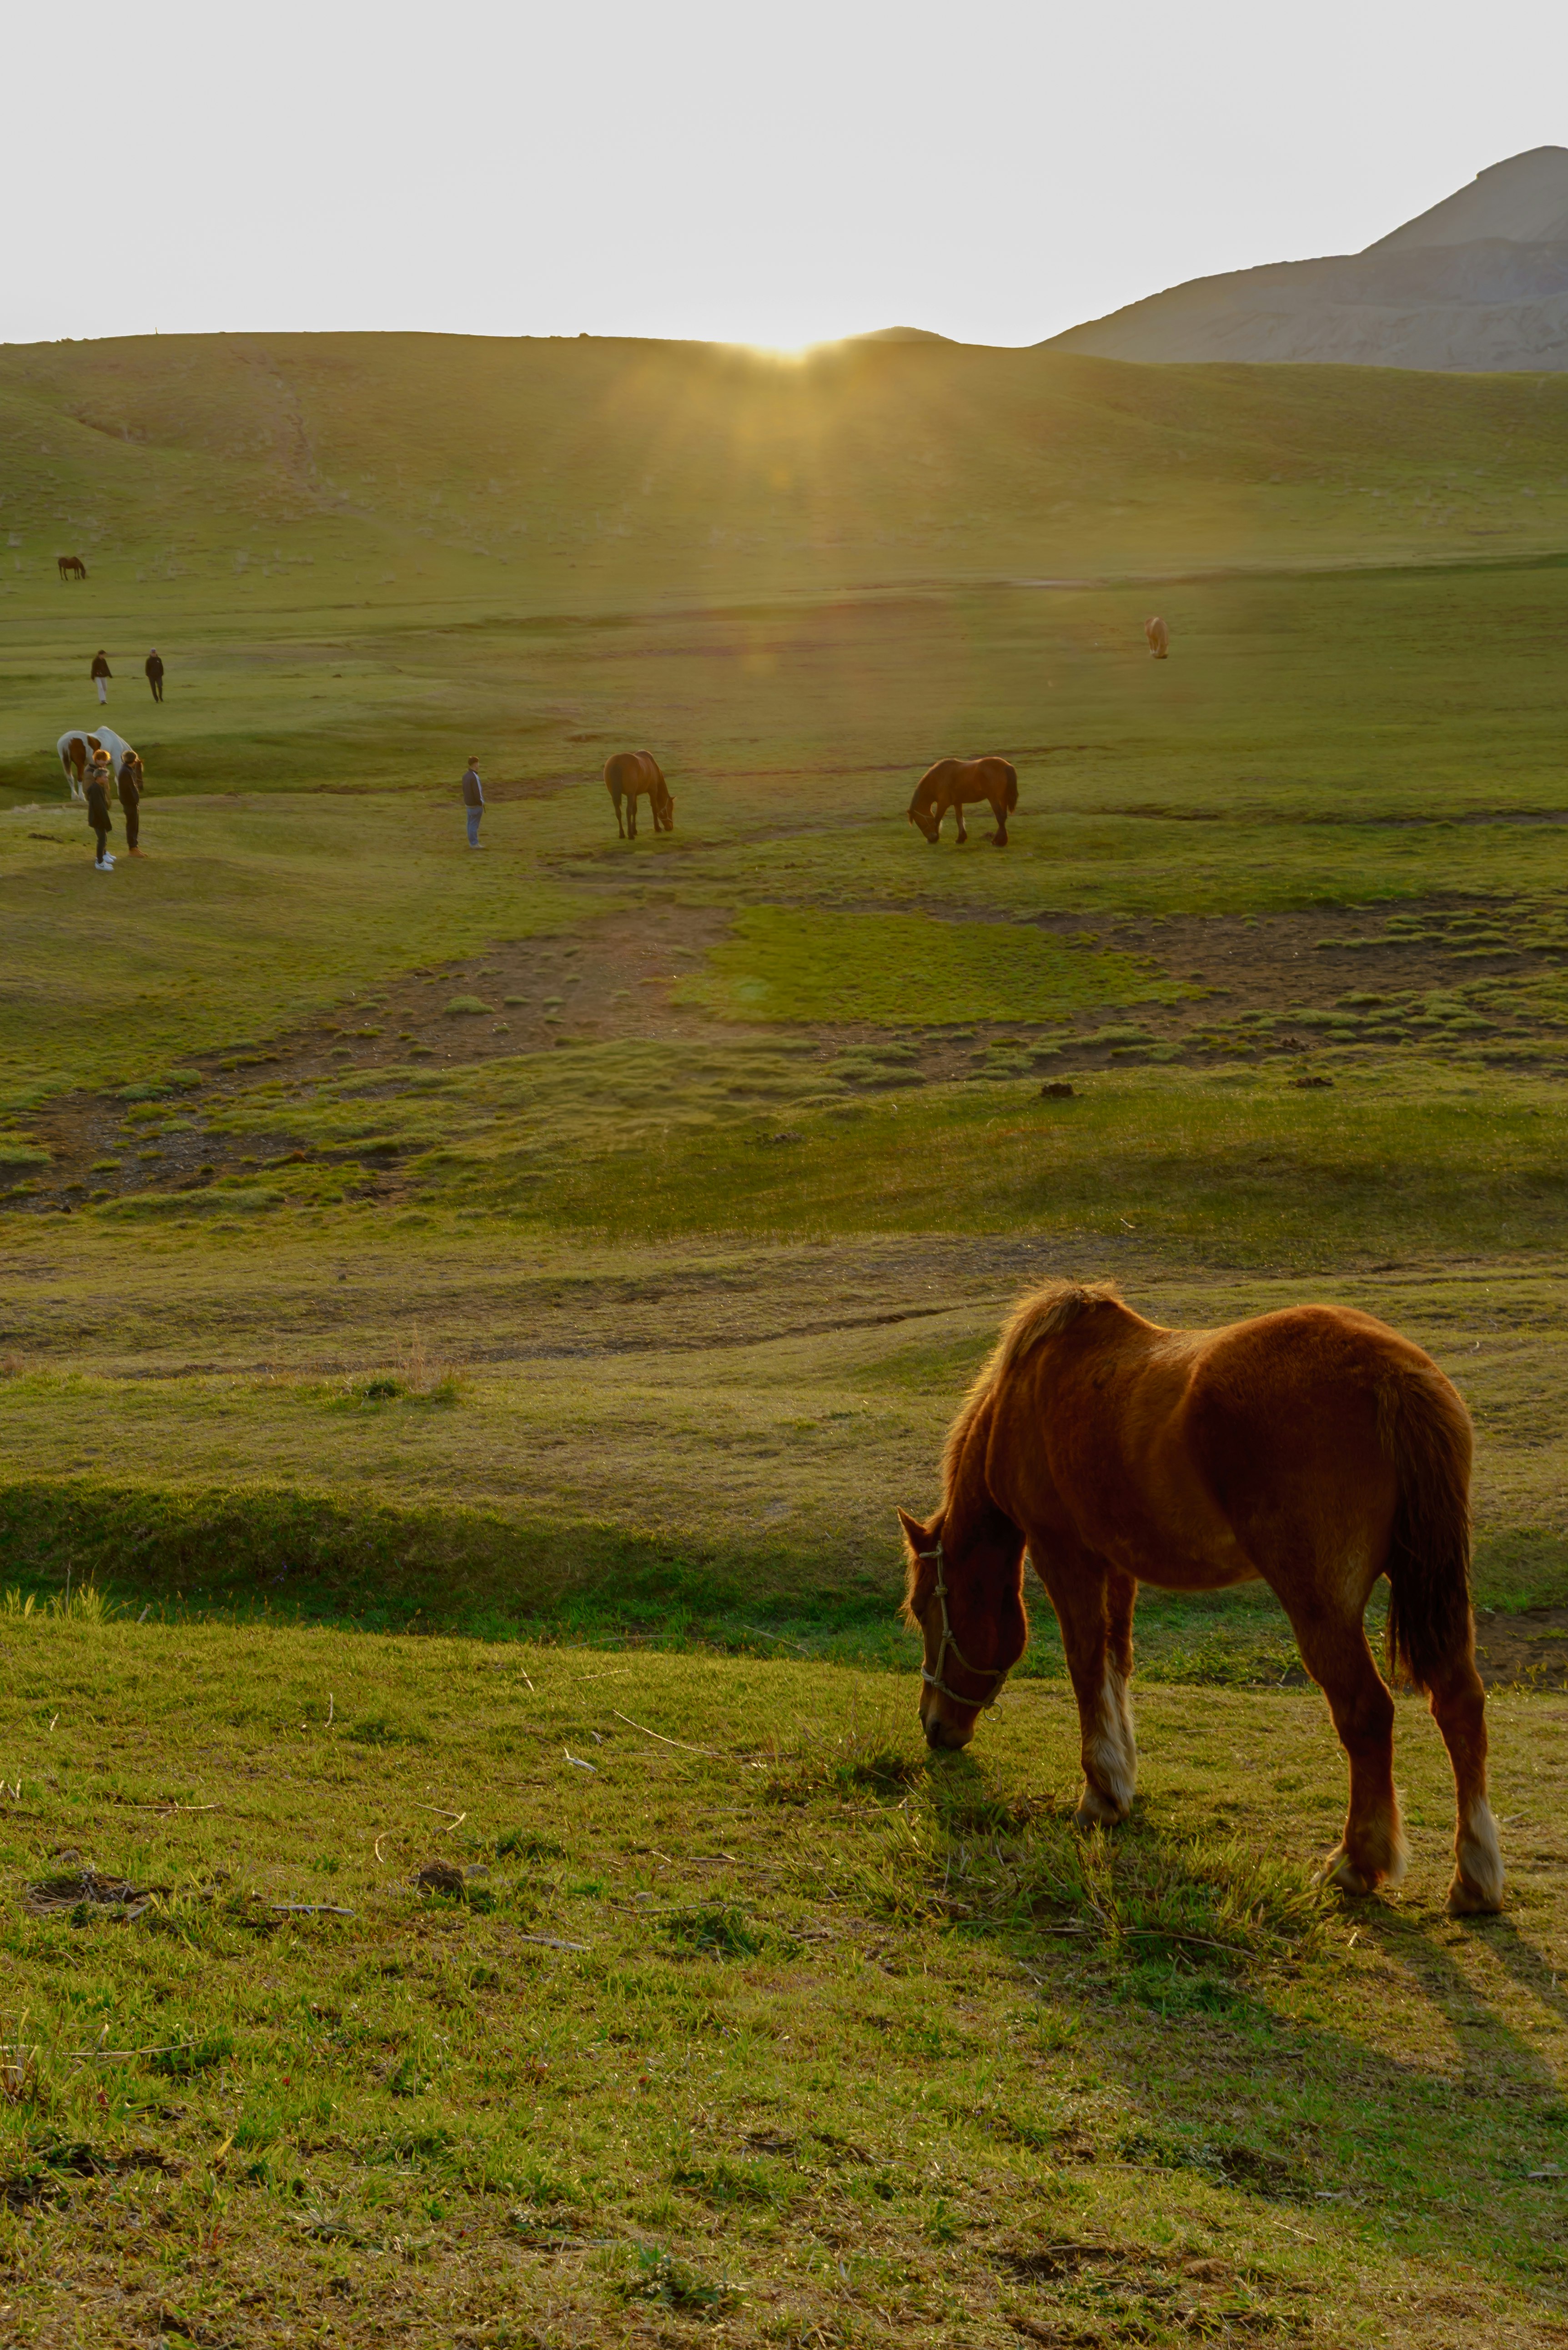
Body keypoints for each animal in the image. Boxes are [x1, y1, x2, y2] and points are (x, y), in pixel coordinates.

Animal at [58, 727, 143, 803]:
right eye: (139, 770)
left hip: (66, 762)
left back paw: (75, 797)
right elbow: (118, 777)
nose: (141, 788)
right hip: (80, 764)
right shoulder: (116, 761)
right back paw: (82, 797)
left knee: (70, 778)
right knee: (79, 778)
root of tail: (68, 740)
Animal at [606, 750, 674, 839]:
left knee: (618, 813)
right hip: (630, 795)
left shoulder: (635, 795)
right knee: (628, 812)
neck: (653, 767)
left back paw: (622, 834)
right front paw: (657, 827)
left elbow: (635, 811)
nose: (671, 827)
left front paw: (634, 830)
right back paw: (630, 835)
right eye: (670, 809)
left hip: (615, 795)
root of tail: (617, 762)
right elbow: (654, 808)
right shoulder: (652, 792)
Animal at [896, 1280, 1504, 1919]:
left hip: (1321, 1603)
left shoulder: (1063, 1549)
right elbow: (1115, 1662)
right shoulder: (1117, 1561)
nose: (933, 1725)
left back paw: (1357, 1860)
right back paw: (1475, 1876)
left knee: (1366, 1711)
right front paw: (1119, 1782)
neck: (1026, 1394)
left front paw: (1098, 1793)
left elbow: (1085, 1663)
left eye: (923, 1608)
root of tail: (1392, 1370)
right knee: (1460, 1702)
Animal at [906, 756, 1017, 847]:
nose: (931, 837)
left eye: (918, 822)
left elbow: (937, 820)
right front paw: (961, 839)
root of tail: (1006, 766)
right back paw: (998, 840)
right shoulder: (957, 803)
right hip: (1002, 799)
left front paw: (935, 839)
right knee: (1003, 817)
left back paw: (999, 842)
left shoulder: (943, 804)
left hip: (994, 799)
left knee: (1000, 817)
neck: (938, 779)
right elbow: (959, 819)